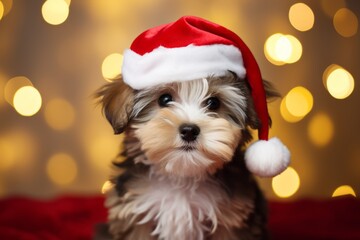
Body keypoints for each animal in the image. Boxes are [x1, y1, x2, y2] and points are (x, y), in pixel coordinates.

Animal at [93, 15, 290, 239]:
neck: (182, 176)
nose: (189, 130)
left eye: (214, 103)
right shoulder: (135, 215)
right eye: (164, 99)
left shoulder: (231, 220)